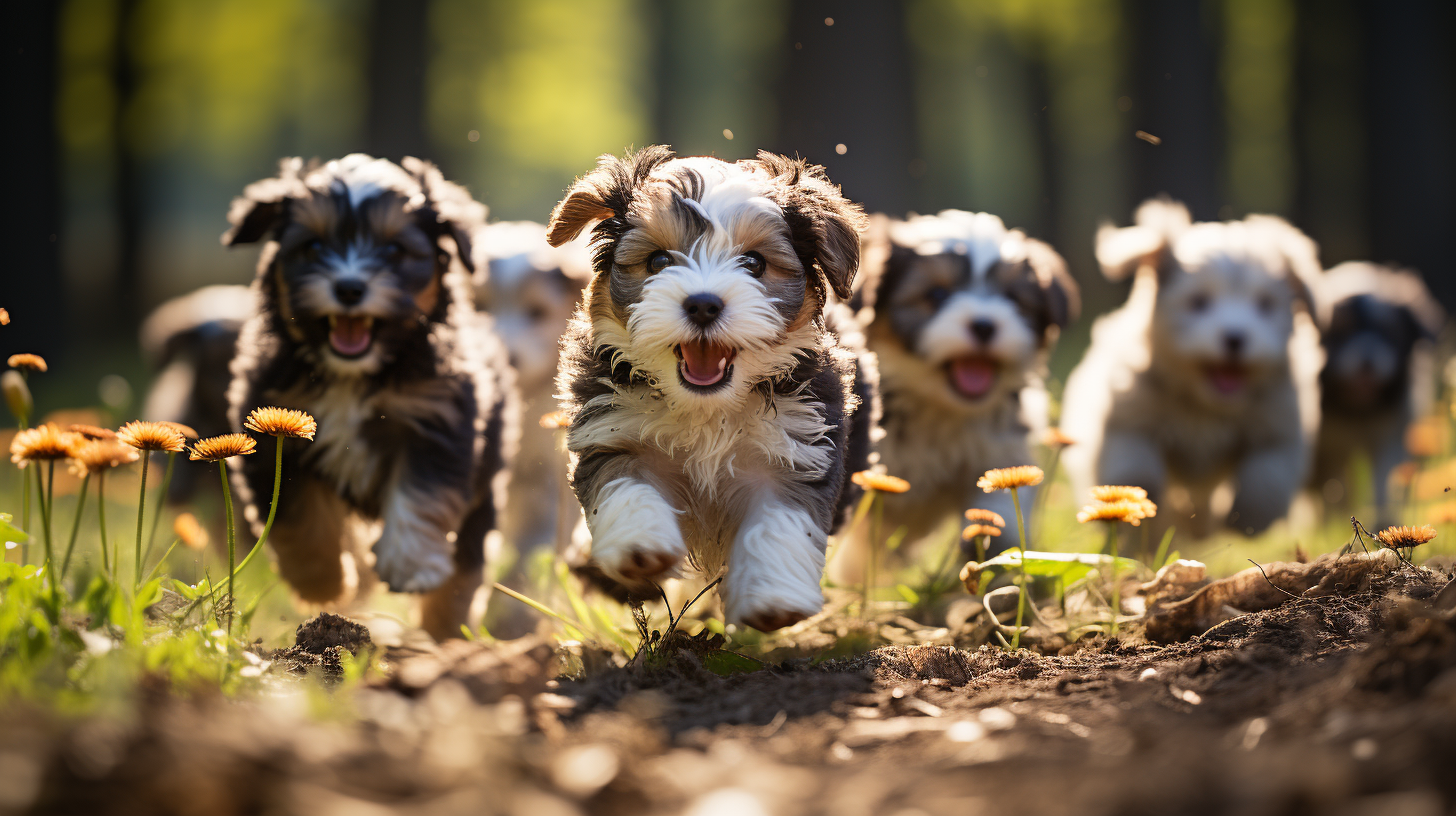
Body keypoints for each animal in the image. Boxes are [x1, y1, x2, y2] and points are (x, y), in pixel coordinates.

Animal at [224, 153, 521, 638]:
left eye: (395, 251)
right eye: (313, 247)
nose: (349, 288)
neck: (355, 377)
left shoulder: (436, 424)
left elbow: (421, 496)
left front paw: (411, 566)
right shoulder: (273, 432)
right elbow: (297, 515)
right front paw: (322, 582)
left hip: (487, 477)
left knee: (467, 559)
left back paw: (446, 625)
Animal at [547, 146, 873, 632]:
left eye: (754, 264)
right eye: (658, 262)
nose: (702, 304)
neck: (707, 408)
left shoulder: (799, 448)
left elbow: (781, 518)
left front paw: (773, 597)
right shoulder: (614, 429)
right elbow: (627, 486)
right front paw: (639, 548)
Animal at [832, 206, 1083, 571]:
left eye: (1012, 298)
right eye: (936, 295)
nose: (984, 325)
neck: (939, 408)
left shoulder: (998, 450)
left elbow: (999, 502)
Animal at [1059, 198, 1333, 539]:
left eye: (1264, 304)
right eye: (1199, 302)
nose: (1235, 337)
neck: (1206, 406)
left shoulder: (1278, 430)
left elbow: (1265, 479)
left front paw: (1247, 519)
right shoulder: (1128, 420)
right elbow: (1136, 469)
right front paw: (1139, 509)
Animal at [1310, 260, 1444, 530]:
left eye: (1388, 333)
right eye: (1342, 332)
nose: (1367, 364)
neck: (1357, 409)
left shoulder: (1389, 430)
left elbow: (1382, 478)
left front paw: (1384, 521)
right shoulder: (1324, 445)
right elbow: (1330, 485)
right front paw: (1330, 523)